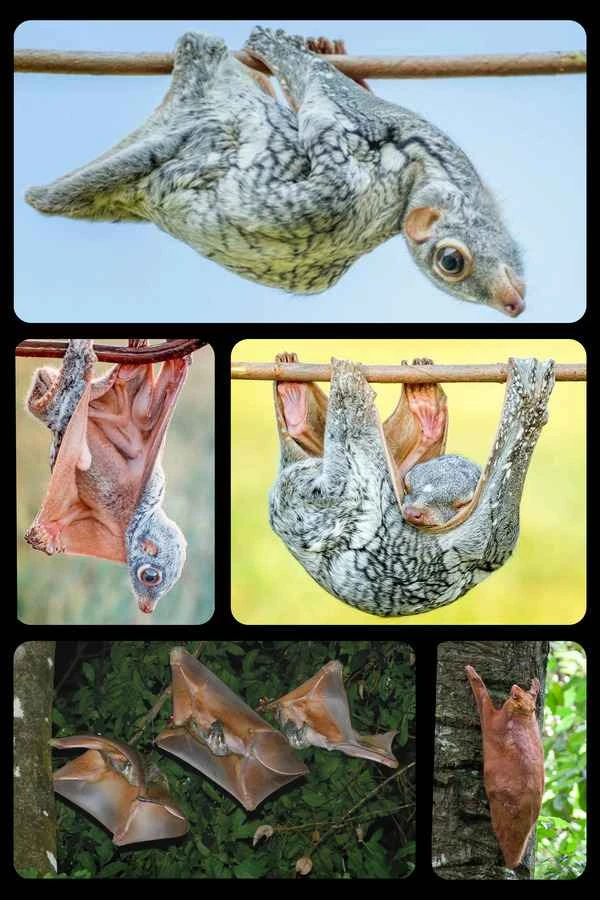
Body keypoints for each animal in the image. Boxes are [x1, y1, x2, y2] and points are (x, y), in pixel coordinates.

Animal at [25, 28, 524, 316]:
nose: (512, 305)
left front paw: (281, 47)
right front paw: (298, 49)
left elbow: (319, 99)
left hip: (207, 110)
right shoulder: (387, 132)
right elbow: (321, 93)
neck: (412, 181)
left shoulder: (365, 130)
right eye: (452, 263)